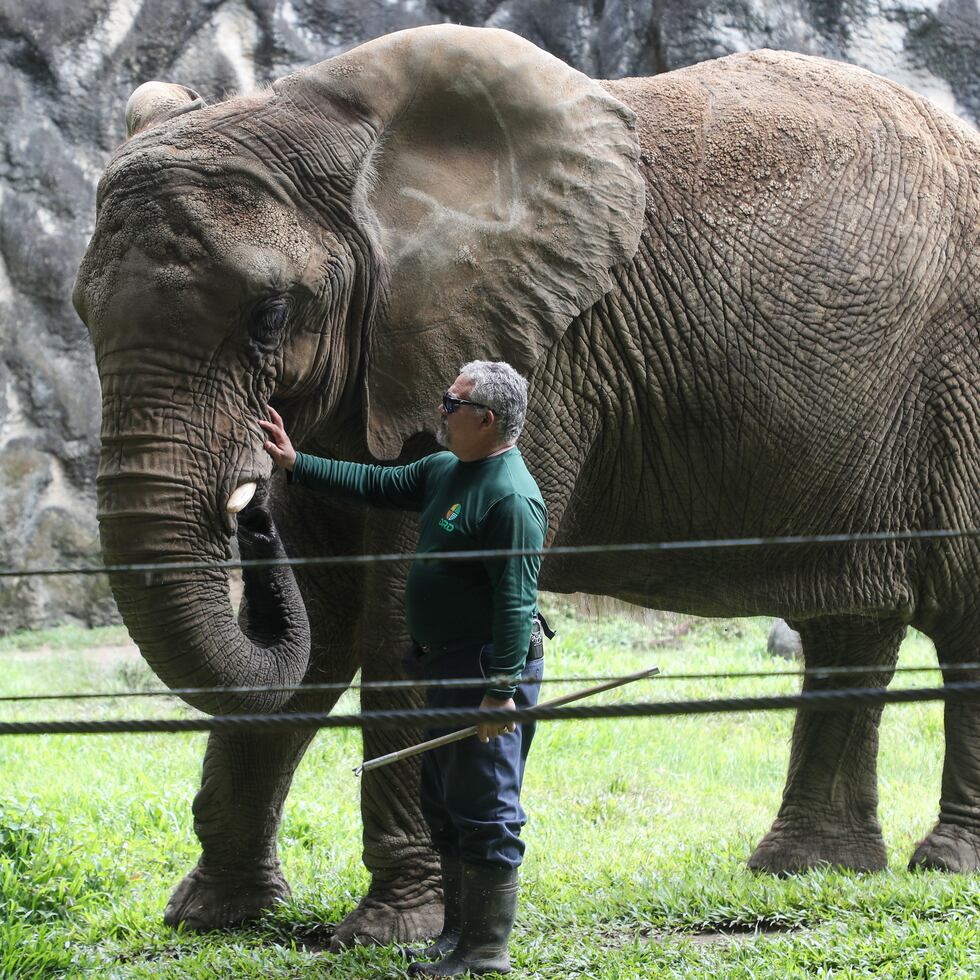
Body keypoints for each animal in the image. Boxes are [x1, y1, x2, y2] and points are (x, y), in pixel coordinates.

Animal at [72, 26, 980, 944]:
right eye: (80, 312)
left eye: (269, 316)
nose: (252, 503)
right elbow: (320, 622)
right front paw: (212, 919)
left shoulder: (535, 350)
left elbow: (399, 610)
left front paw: (391, 931)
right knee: (852, 625)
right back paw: (809, 871)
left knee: (957, 618)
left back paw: (942, 865)